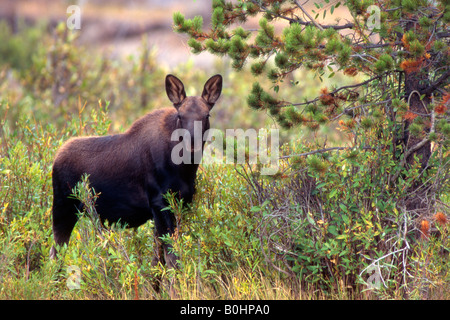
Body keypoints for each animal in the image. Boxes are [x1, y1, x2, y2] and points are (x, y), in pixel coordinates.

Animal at [49, 74, 223, 268]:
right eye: (180, 115)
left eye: (207, 115)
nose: (192, 144)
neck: (185, 169)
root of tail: (56, 158)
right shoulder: (159, 202)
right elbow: (170, 258)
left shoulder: (181, 204)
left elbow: (158, 259)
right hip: (63, 208)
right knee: (55, 254)